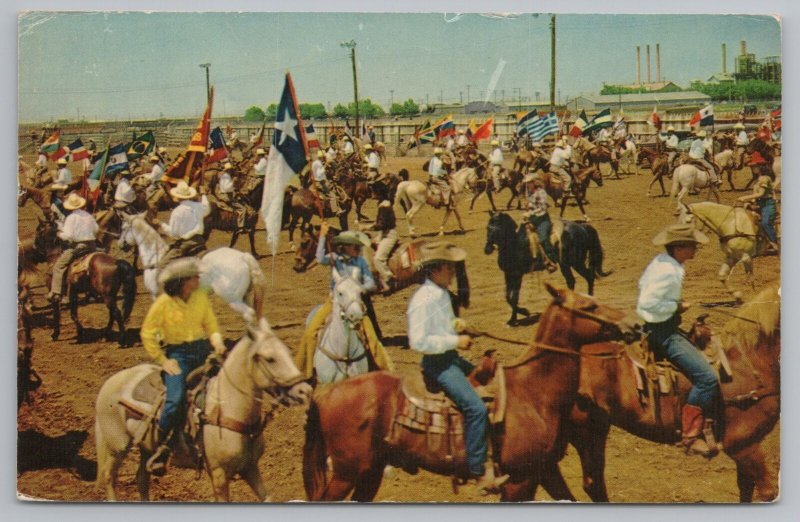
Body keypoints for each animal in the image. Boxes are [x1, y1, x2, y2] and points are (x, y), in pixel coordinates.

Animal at [33, 216, 138, 344]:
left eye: (38, 230)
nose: (34, 246)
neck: (55, 258)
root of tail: (116, 262)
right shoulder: (73, 293)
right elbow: (73, 313)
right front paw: (79, 332)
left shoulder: (55, 294)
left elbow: (59, 315)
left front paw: (56, 334)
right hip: (110, 295)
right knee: (112, 314)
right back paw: (106, 335)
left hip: (107, 296)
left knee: (116, 313)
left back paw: (121, 340)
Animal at [95, 316, 314, 500]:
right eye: (270, 359)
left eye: (288, 352)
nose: (305, 391)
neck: (227, 410)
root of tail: (109, 383)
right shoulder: (218, 476)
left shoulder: (251, 468)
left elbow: (267, 497)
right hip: (117, 447)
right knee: (109, 477)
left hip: (146, 447)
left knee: (142, 478)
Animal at [119, 211, 266, 320]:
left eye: (123, 228)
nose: (120, 244)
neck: (155, 255)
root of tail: (243, 257)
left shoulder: (156, 295)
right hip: (244, 296)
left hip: (233, 299)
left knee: (250, 315)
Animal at [304, 282, 636, 502]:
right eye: (589, 307)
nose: (633, 324)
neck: (534, 393)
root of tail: (326, 394)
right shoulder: (518, 481)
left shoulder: (543, 470)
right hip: (346, 473)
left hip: (368, 472)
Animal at [564, 284, 780, 500]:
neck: (749, 362)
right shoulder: (743, 445)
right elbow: (767, 492)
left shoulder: (748, 447)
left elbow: (746, 488)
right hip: (589, 430)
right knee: (593, 484)